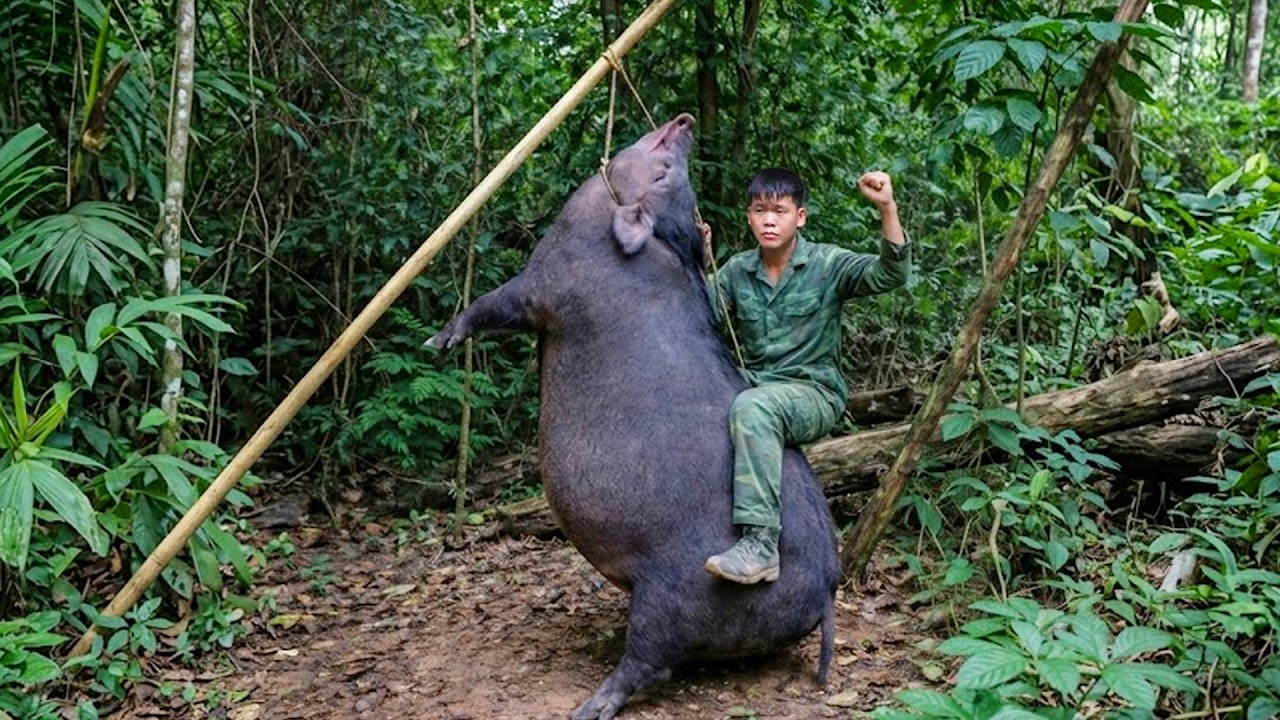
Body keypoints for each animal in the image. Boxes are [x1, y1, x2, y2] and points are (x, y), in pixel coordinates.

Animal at [427, 113, 838, 720]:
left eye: (664, 173)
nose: (684, 121)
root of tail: (830, 588)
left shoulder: (544, 285)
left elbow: (491, 305)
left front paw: (438, 342)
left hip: (672, 595)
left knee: (650, 660)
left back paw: (589, 707)